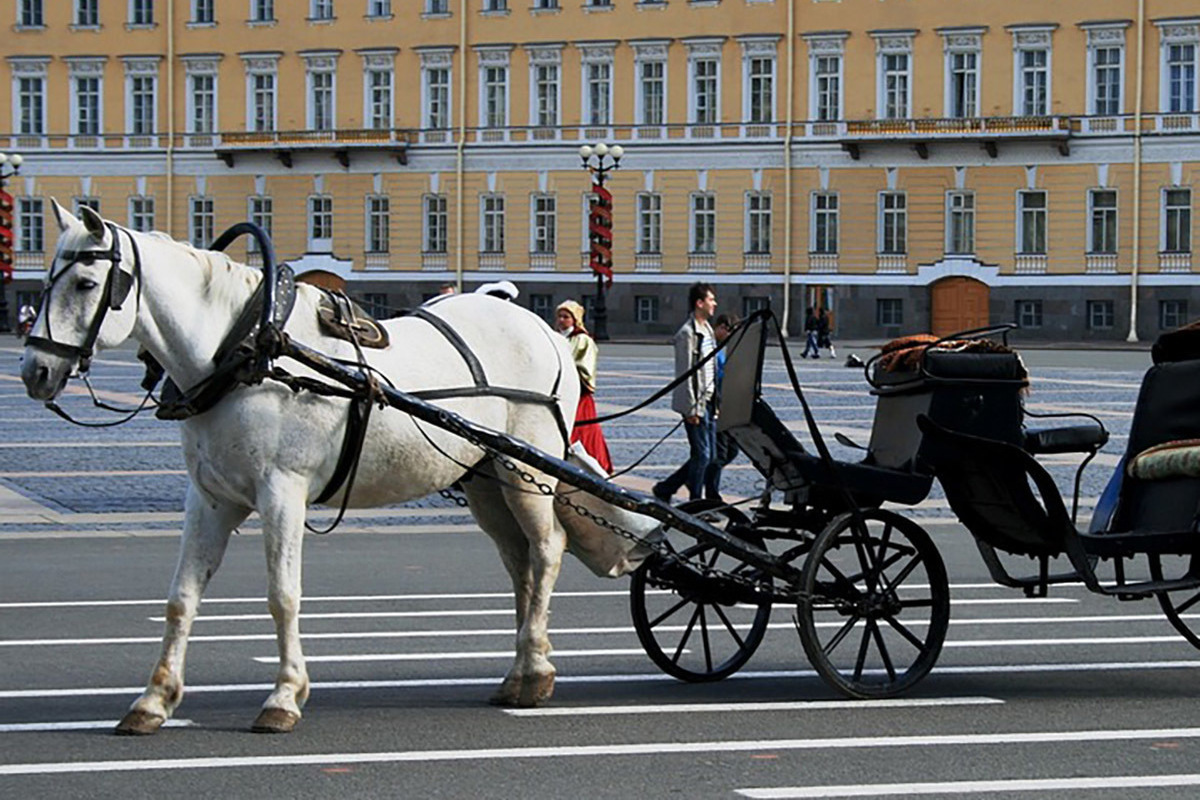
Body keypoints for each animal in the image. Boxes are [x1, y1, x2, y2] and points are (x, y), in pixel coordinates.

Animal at [22, 203, 585, 734]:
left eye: (85, 282)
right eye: (46, 279)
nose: (35, 371)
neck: (246, 352)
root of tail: (542, 330)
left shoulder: (281, 492)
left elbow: (282, 596)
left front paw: (284, 696)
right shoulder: (209, 497)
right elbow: (182, 597)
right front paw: (154, 700)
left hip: (524, 471)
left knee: (546, 549)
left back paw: (535, 672)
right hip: (485, 481)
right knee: (519, 562)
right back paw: (520, 668)